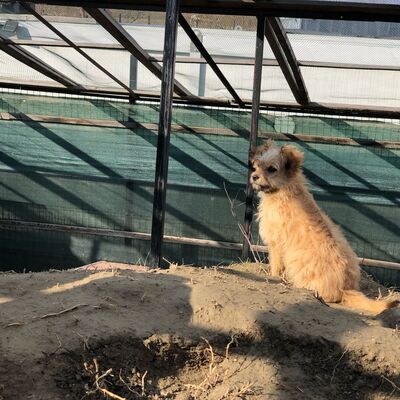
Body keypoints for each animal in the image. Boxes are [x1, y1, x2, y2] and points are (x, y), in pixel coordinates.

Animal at [252, 141, 398, 316]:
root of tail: (345, 288)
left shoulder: (276, 244)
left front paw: (272, 277)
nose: (253, 176)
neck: (285, 188)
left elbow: (275, 266)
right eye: (257, 165)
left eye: (272, 169)